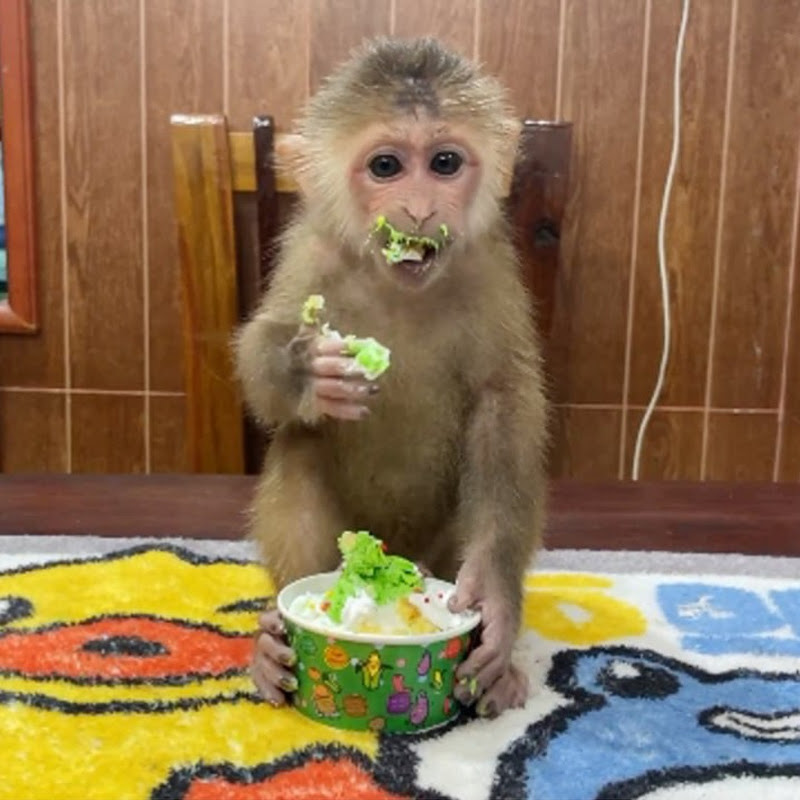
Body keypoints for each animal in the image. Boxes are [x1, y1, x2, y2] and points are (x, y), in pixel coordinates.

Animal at [234, 36, 548, 719]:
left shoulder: (489, 266)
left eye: (445, 162)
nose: (421, 209)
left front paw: (495, 604)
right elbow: (261, 359)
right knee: (300, 450)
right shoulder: (312, 253)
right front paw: (307, 368)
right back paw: (273, 648)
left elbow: (502, 409)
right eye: (386, 167)